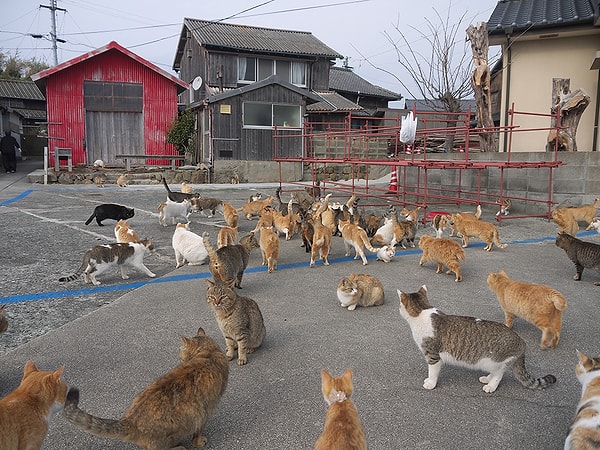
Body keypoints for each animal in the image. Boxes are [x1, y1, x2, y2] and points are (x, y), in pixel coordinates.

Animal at [63, 326, 227, 450]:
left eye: (180, 356)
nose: (180, 360)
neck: (208, 353)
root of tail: (130, 421)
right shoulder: (205, 412)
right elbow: (198, 432)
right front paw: (199, 442)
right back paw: (179, 447)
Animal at [398, 284, 556, 394]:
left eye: (400, 305)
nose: (398, 309)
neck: (422, 312)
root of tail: (521, 341)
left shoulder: (433, 356)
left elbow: (432, 372)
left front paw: (430, 383)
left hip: (493, 361)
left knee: (499, 374)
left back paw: (491, 385)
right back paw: (487, 379)